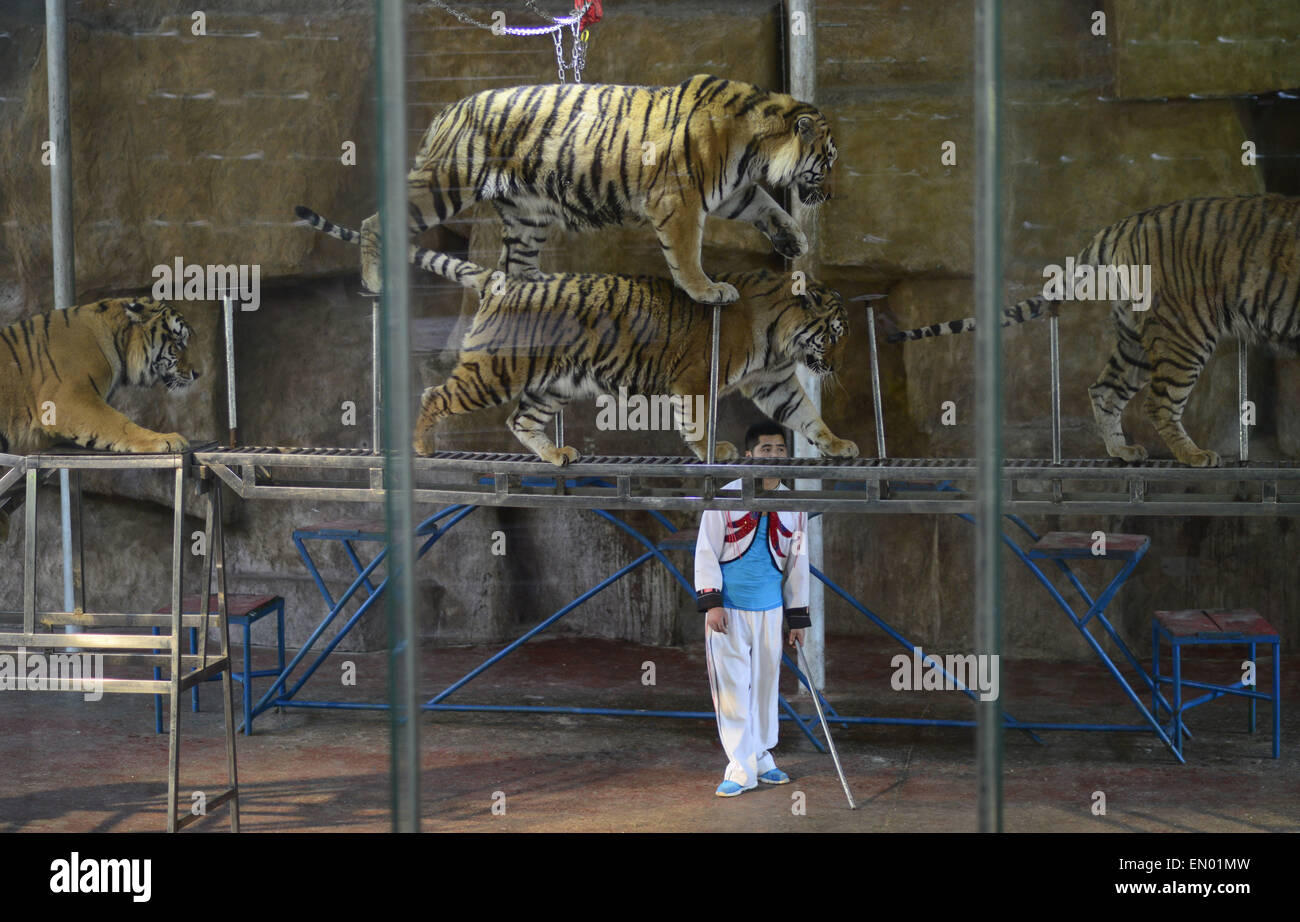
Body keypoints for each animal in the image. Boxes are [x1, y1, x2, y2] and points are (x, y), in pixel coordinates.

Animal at [299, 205, 857, 462]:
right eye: (832, 334)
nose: (836, 366)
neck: (779, 341)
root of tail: (502, 279)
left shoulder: (776, 381)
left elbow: (806, 416)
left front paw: (839, 444)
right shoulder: (697, 378)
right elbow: (699, 421)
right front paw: (713, 452)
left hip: (553, 384)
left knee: (520, 421)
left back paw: (555, 455)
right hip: (494, 372)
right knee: (435, 393)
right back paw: (422, 446)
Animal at [356, 74, 837, 305]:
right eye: (828, 161)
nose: (831, 195)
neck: (756, 147)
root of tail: (447, 111)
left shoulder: (731, 189)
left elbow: (766, 204)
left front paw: (794, 240)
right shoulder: (680, 198)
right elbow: (686, 253)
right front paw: (707, 290)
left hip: (528, 213)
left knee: (516, 267)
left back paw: (540, 291)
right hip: (449, 180)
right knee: (374, 220)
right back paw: (375, 280)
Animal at [883, 193, 1300, 468]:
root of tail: (1126, 223)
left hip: (1138, 336)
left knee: (1104, 389)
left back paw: (1122, 451)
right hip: (1184, 332)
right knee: (1158, 401)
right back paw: (1194, 455)